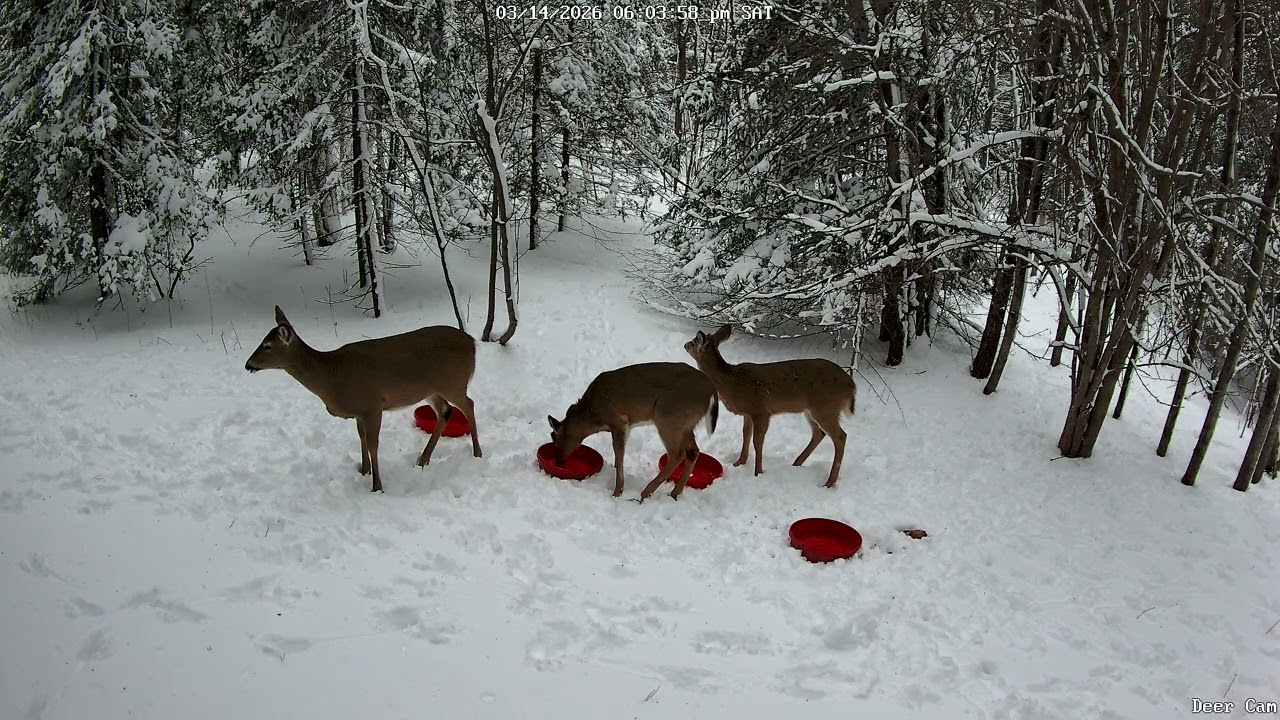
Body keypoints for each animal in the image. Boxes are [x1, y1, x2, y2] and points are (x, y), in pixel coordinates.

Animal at [244, 305, 483, 493]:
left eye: (267, 346)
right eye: (262, 341)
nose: (248, 364)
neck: (332, 377)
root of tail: (472, 342)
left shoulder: (373, 406)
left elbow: (373, 444)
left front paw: (377, 486)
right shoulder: (359, 411)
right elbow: (361, 438)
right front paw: (363, 470)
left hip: (453, 382)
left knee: (468, 404)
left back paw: (477, 452)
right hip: (431, 390)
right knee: (446, 411)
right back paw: (422, 460)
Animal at [547, 362, 719, 502]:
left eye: (555, 439)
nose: (558, 461)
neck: (592, 415)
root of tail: (711, 390)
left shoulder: (618, 421)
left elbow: (619, 453)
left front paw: (617, 492)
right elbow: (618, 457)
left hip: (669, 416)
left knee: (677, 454)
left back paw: (644, 494)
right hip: (686, 425)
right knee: (693, 451)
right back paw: (674, 493)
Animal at [683, 324, 856, 488]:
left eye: (694, 341)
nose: (685, 344)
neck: (731, 383)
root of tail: (851, 384)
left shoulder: (762, 411)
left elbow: (757, 441)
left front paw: (757, 472)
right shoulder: (748, 413)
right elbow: (746, 434)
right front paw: (739, 462)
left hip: (825, 408)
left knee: (840, 436)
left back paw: (829, 482)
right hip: (811, 410)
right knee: (819, 433)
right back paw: (797, 463)